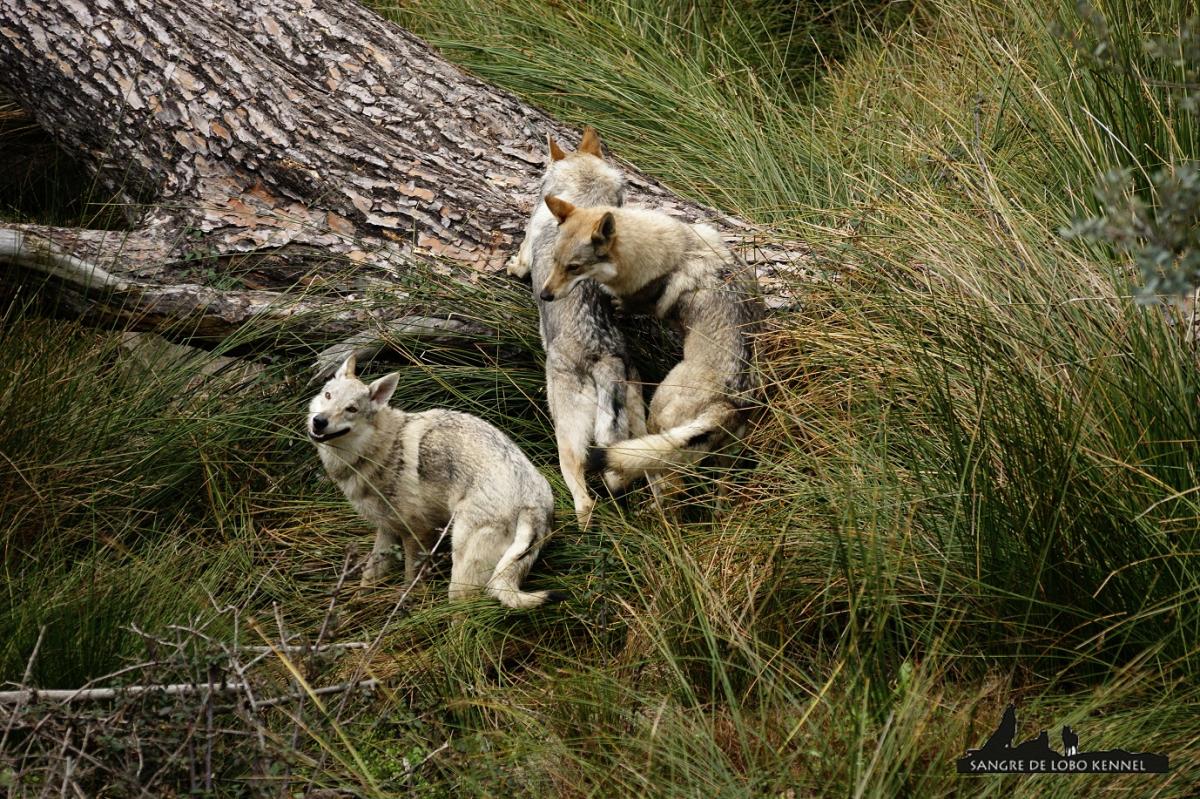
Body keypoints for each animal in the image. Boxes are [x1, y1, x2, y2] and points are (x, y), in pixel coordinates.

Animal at [304, 352, 556, 607]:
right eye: (328, 396)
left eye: (351, 409)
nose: (319, 421)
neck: (378, 450)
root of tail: (534, 502)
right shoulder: (387, 530)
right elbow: (368, 578)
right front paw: (355, 606)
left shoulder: (417, 533)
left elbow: (409, 581)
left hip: (459, 578)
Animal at [506, 124, 648, 525]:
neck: (587, 195)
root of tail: (604, 360)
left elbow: (519, 260)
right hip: (636, 431)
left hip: (566, 439)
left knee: (584, 498)